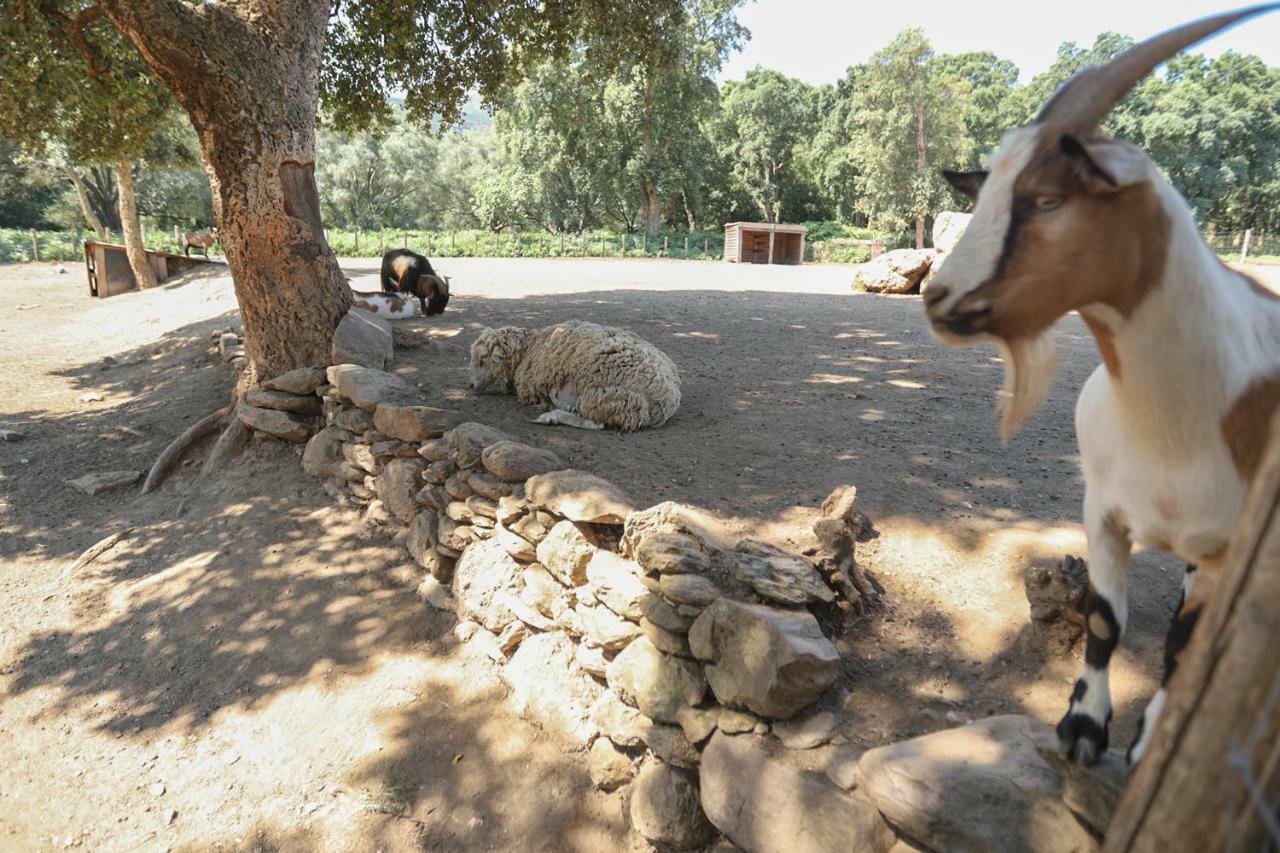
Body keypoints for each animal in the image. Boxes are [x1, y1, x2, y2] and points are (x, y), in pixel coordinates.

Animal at [468, 318, 680, 427]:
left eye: (483, 357)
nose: (470, 386)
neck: (529, 347)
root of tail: (668, 399)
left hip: (606, 397)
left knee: (595, 423)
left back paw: (553, 415)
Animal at [926, 4, 1280, 763]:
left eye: (1046, 198)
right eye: (987, 192)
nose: (938, 297)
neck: (1177, 426)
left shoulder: (1229, 549)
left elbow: (1182, 645)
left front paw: (1147, 741)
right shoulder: (1103, 511)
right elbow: (1104, 620)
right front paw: (1083, 727)